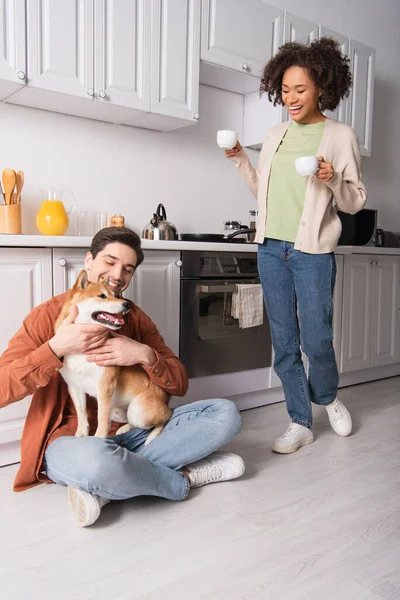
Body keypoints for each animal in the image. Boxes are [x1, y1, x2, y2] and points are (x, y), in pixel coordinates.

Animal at [54, 272, 170, 446]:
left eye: (114, 295)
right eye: (102, 296)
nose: (127, 304)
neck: (83, 351)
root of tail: (165, 399)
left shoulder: (104, 385)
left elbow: (102, 418)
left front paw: (98, 438)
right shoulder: (74, 387)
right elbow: (82, 415)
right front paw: (81, 434)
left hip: (139, 412)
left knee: (165, 417)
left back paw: (152, 434)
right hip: (118, 411)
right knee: (133, 422)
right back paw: (124, 428)